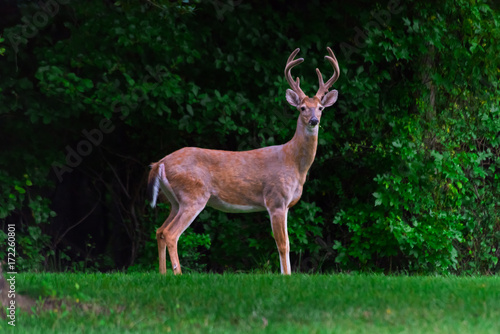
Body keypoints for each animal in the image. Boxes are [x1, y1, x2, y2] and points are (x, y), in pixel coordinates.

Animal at [147, 48, 340, 276]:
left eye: (320, 108)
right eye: (302, 108)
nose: (314, 121)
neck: (293, 162)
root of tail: (160, 163)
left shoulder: (286, 205)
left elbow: (288, 243)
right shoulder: (275, 199)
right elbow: (283, 244)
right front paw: (286, 276)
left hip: (175, 200)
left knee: (159, 230)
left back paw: (163, 274)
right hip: (193, 195)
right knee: (171, 233)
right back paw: (178, 275)